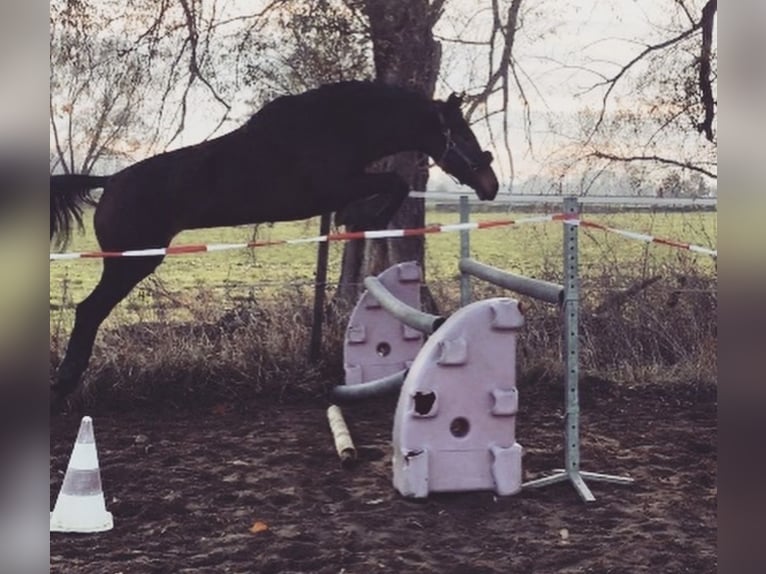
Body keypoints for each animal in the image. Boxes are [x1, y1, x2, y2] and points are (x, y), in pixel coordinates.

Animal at [51, 82, 500, 414]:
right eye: (462, 133)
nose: (491, 185)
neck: (338, 126)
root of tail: (108, 182)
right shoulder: (336, 186)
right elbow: (395, 183)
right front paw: (360, 218)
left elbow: (391, 185)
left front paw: (355, 218)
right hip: (132, 263)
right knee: (89, 311)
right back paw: (64, 384)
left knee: (89, 311)